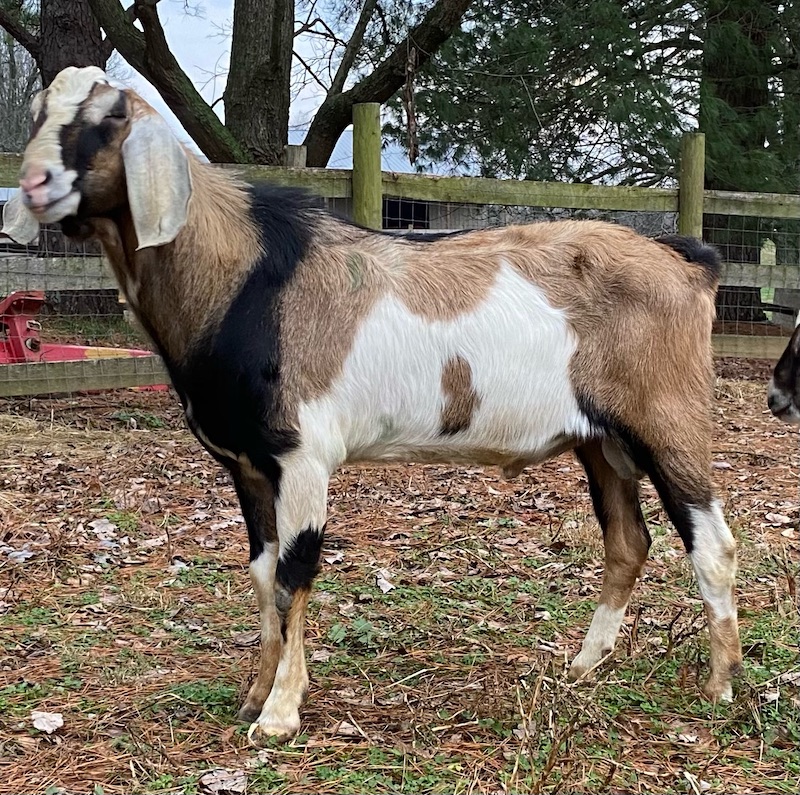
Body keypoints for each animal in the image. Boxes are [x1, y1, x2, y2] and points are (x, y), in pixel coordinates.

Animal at [2, 66, 742, 743]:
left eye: (109, 119)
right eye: (37, 111)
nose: (34, 183)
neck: (245, 277)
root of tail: (687, 263)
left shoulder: (304, 454)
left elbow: (295, 571)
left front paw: (279, 715)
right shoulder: (248, 464)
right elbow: (262, 574)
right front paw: (254, 693)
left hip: (667, 418)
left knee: (713, 542)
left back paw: (720, 686)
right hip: (603, 441)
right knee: (629, 541)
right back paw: (582, 667)